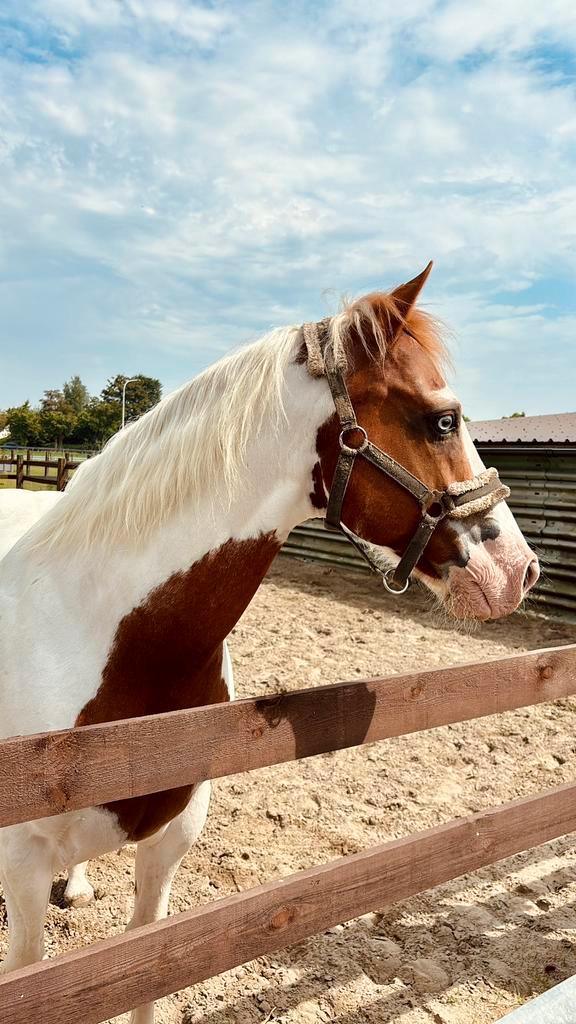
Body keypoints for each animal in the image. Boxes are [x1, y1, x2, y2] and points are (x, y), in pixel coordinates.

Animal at [0, 263, 539, 1023]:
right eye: (443, 419)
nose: (519, 570)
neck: (97, 636)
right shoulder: (19, 868)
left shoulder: (169, 844)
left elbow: (145, 974)